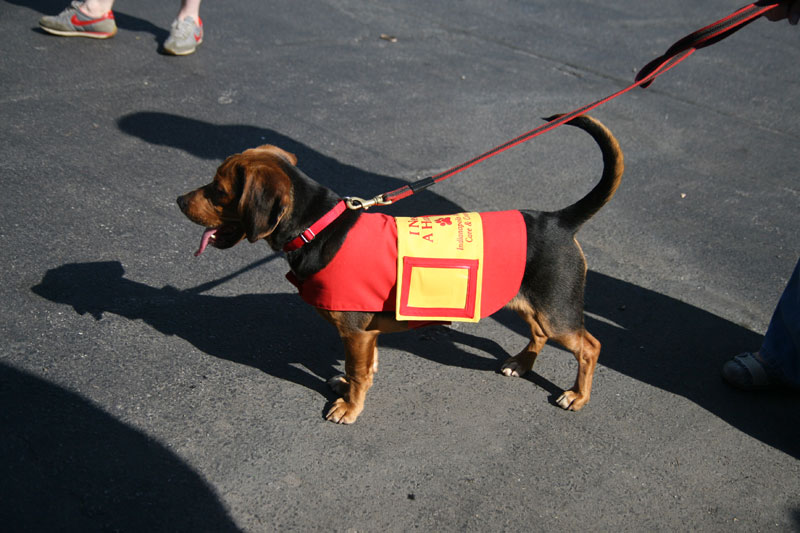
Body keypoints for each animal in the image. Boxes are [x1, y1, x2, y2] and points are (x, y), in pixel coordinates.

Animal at [178, 115, 620, 424]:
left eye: (218, 192)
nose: (179, 201)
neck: (319, 226)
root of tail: (556, 221)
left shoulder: (354, 333)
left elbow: (358, 374)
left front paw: (349, 407)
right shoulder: (366, 335)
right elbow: (364, 369)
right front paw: (349, 389)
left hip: (557, 311)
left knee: (591, 347)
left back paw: (578, 395)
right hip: (529, 302)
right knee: (540, 334)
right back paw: (521, 363)